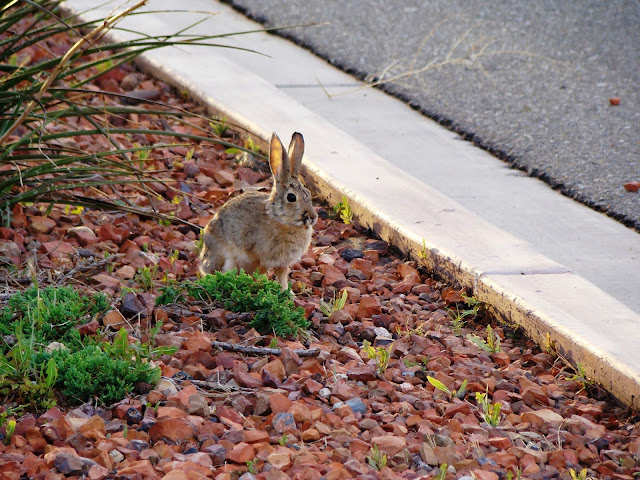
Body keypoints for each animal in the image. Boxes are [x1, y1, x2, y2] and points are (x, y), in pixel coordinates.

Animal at [199, 130, 318, 288]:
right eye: (291, 197)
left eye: (309, 194)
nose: (313, 217)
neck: (280, 219)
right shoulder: (257, 257)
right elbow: (259, 273)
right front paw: (260, 284)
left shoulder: (283, 264)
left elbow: (282, 278)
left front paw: (286, 292)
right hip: (225, 258)